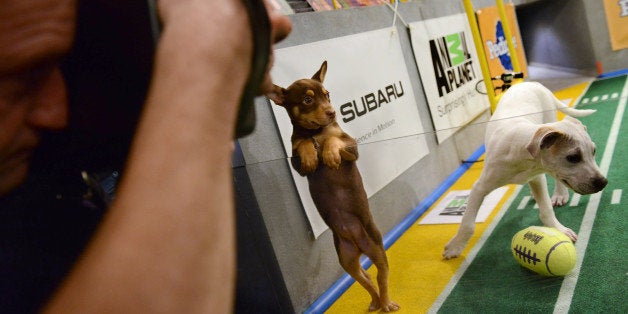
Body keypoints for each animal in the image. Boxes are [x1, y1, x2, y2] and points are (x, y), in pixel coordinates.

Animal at [268, 61, 400, 312]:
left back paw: (387, 303)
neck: (316, 130)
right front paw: (312, 155)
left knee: (382, 276)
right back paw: (375, 301)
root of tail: (358, 244)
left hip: (377, 248)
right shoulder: (296, 163)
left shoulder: (351, 148)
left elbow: (333, 139)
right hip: (346, 260)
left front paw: (328, 155)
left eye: (327, 95)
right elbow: (304, 144)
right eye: (307, 100)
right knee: (366, 278)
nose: (332, 112)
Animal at [442, 81, 608, 260]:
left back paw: (559, 194)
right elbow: (468, 224)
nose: (603, 182)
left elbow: (546, 209)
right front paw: (455, 246)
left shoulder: (537, 178)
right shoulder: (479, 188)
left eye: (594, 152)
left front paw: (559, 229)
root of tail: (532, 83)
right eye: (573, 158)